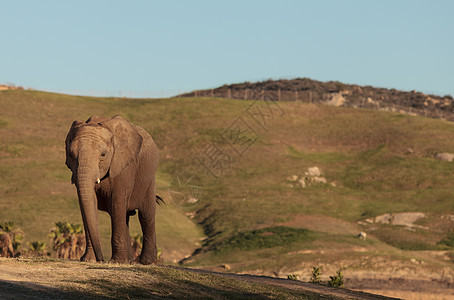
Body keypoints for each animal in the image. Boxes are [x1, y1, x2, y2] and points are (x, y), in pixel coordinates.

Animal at [65, 116, 161, 264]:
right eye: (70, 155)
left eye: (103, 154)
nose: (101, 260)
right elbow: (89, 204)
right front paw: (88, 260)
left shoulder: (124, 166)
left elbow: (117, 202)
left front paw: (117, 262)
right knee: (125, 217)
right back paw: (129, 261)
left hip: (149, 180)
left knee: (146, 215)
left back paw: (145, 262)